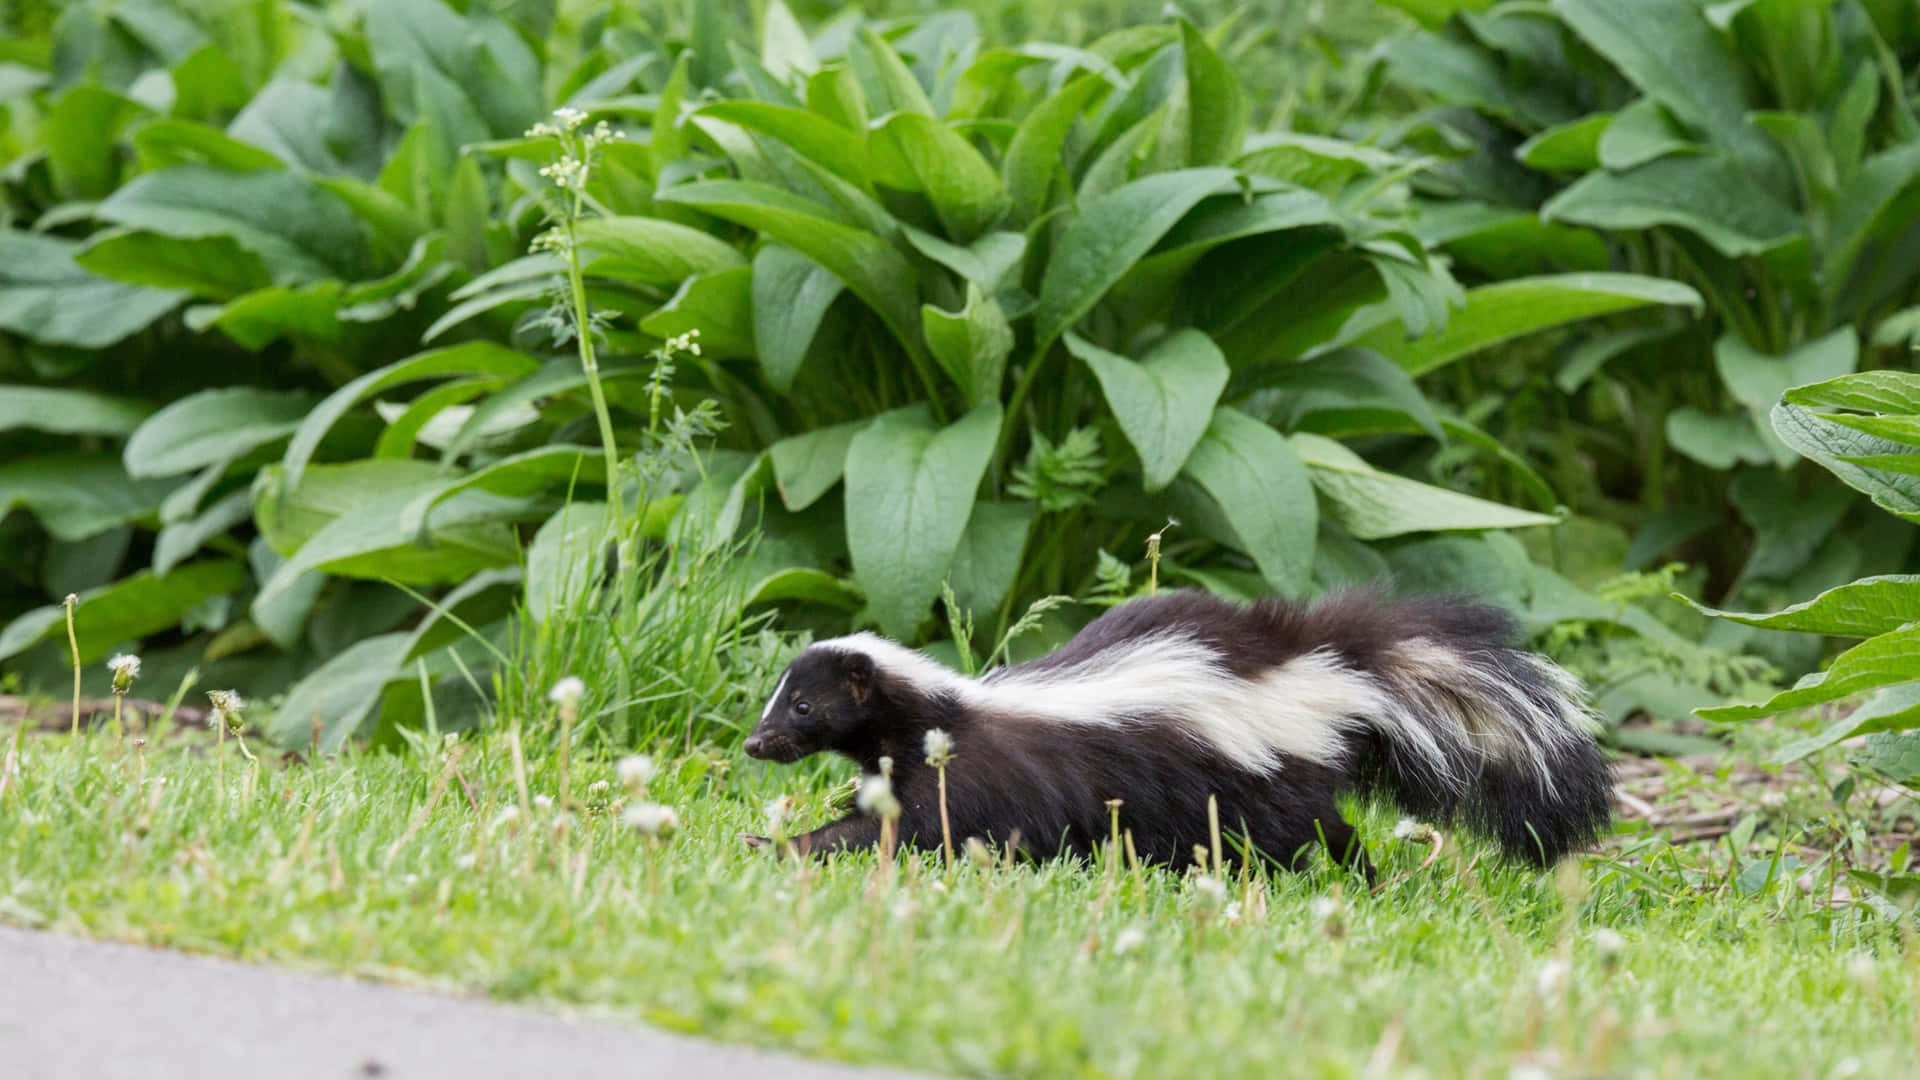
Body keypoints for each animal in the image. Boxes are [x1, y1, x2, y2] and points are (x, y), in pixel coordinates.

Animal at [741, 588, 1612, 864]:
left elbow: (919, 828)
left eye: (804, 706)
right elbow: (880, 817)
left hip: (1261, 776)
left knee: (1320, 830)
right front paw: (778, 836)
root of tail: (1322, 668)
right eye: (775, 699)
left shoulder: (967, 771)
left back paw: (1360, 875)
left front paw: (786, 845)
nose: (755, 742)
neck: (935, 713)